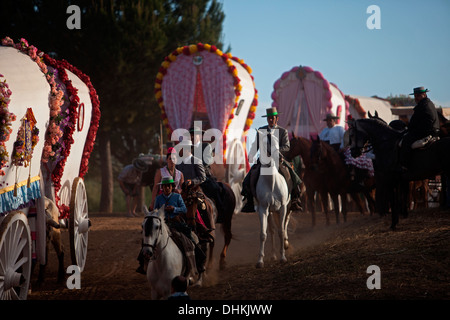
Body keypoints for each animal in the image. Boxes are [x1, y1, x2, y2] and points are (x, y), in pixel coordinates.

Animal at [255, 130, 290, 268]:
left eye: (276, 140)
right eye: (265, 142)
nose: (279, 157)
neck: (271, 182)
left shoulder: (283, 207)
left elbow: (282, 231)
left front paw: (283, 257)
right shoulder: (263, 209)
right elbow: (263, 234)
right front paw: (260, 261)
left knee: (284, 226)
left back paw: (285, 244)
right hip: (269, 211)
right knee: (272, 230)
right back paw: (274, 254)